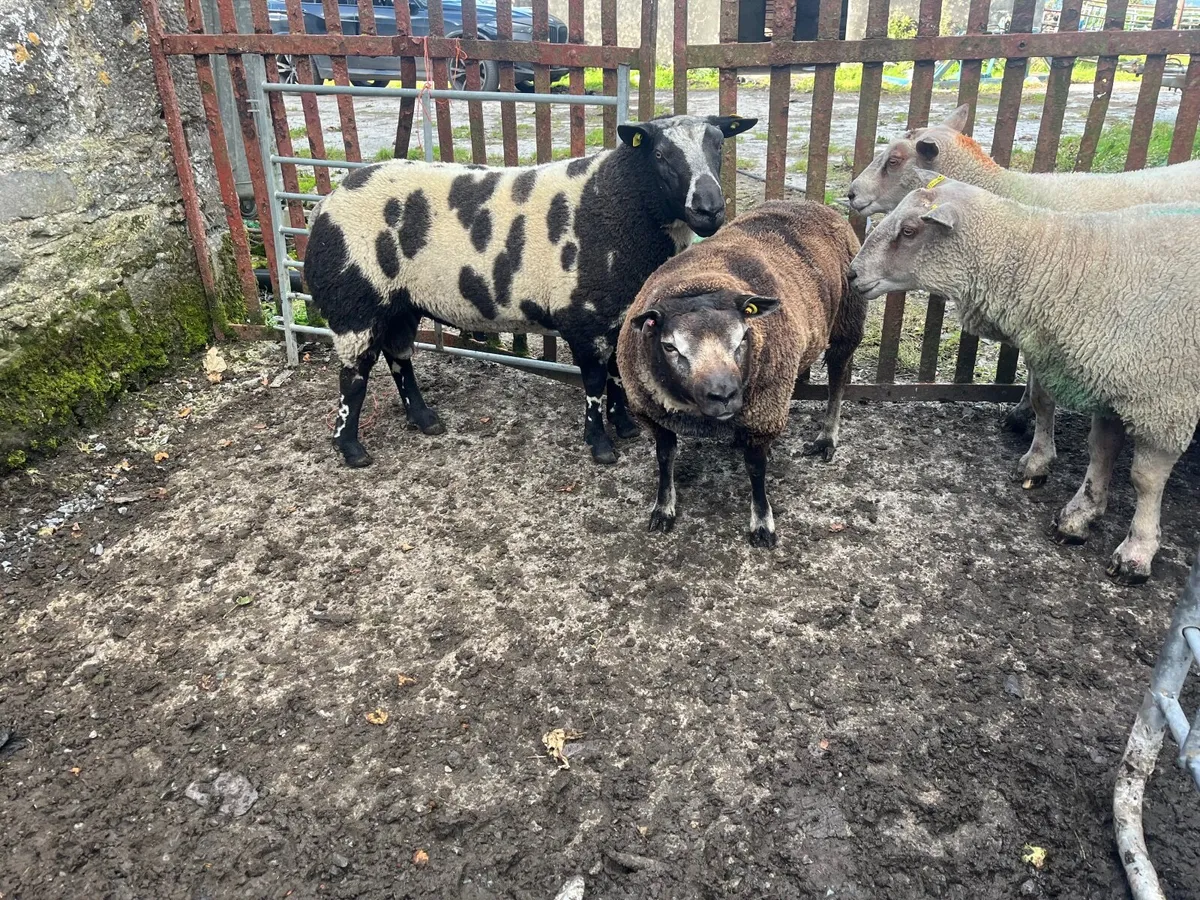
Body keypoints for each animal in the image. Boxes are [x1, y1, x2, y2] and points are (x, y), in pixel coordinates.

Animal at [303, 113, 757, 469]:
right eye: (660, 155)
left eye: (719, 145)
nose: (709, 209)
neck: (617, 201)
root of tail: (327, 203)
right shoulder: (584, 317)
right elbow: (594, 381)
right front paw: (600, 446)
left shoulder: (616, 316)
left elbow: (615, 375)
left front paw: (626, 427)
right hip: (355, 303)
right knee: (354, 375)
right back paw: (351, 448)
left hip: (400, 302)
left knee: (398, 357)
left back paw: (425, 419)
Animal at [616, 200, 866, 548]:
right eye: (669, 346)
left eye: (743, 336)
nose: (723, 396)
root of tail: (809, 203)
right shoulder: (652, 414)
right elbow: (665, 459)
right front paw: (663, 508)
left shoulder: (764, 415)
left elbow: (756, 470)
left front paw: (762, 523)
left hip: (848, 321)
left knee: (838, 379)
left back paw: (826, 437)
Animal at [848, 180, 1200, 583]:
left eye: (909, 231)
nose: (852, 274)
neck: (1072, 266)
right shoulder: (1109, 383)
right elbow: (1100, 449)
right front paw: (1080, 514)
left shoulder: (1164, 399)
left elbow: (1145, 479)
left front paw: (1136, 551)